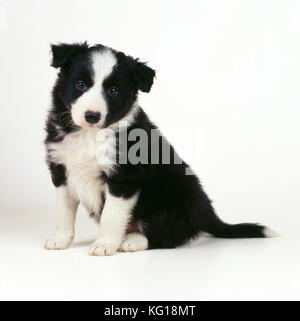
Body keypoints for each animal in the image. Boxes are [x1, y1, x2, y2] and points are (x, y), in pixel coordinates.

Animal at [44, 42, 276, 255]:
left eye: (113, 91)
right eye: (80, 84)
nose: (92, 116)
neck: (90, 134)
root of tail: (207, 212)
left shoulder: (124, 177)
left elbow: (111, 214)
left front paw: (104, 245)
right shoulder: (61, 171)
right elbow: (64, 211)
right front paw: (60, 240)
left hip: (176, 199)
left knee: (170, 233)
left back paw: (133, 241)